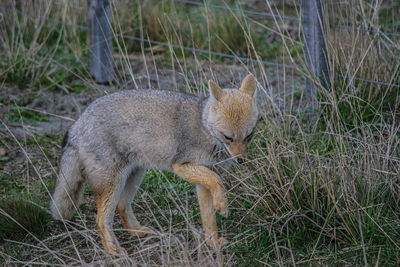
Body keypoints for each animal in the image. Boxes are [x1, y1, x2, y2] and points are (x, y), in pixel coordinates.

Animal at [50, 74, 260, 254]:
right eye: (228, 137)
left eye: (249, 136)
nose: (240, 160)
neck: (205, 128)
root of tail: (78, 122)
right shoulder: (181, 165)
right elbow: (217, 181)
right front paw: (222, 205)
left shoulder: (203, 180)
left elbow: (209, 217)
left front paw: (212, 242)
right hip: (113, 184)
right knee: (101, 220)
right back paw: (113, 250)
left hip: (135, 175)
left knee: (121, 206)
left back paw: (138, 231)